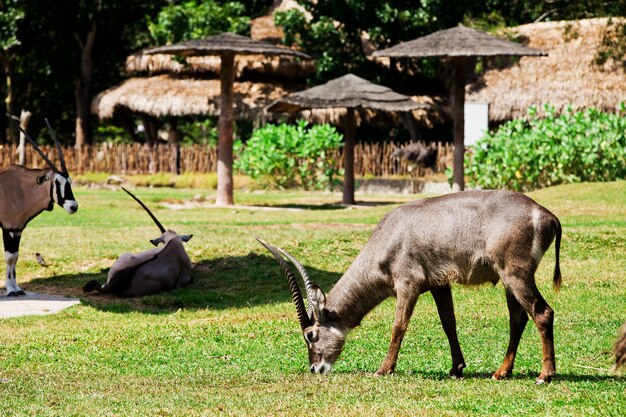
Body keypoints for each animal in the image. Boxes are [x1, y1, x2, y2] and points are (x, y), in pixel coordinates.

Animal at [0, 117, 78, 296]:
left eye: (69, 182)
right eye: (57, 182)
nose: (73, 206)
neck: (21, 190)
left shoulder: (18, 230)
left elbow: (15, 256)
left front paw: (17, 288)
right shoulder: (8, 229)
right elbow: (9, 257)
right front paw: (10, 290)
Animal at [258, 188, 560, 384]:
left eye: (310, 335)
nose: (315, 368)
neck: (390, 234)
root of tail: (546, 215)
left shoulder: (408, 284)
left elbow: (398, 326)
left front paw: (384, 370)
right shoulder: (440, 285)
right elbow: (448, 323)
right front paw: (456, 368)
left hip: (515, 274)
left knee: (542, 312)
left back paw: (544, 376)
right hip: (510, 279)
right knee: (518, 318)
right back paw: (502, 372)